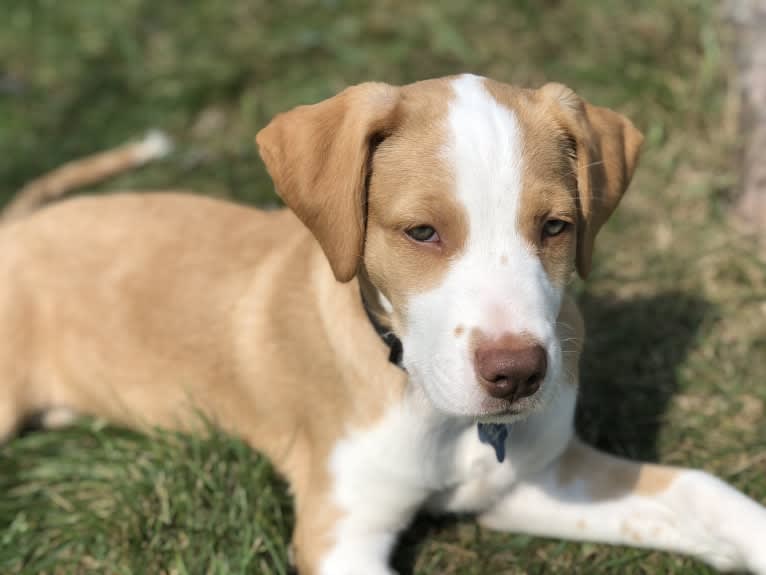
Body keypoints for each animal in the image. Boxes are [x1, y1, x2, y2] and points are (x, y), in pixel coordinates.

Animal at [1, 74, 766, 572]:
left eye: (556, 227)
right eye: (422, 232)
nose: (517, 374)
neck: (437, 410)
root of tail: (19, 226)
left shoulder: (531, 481)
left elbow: (702, 490)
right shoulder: (341, 533)